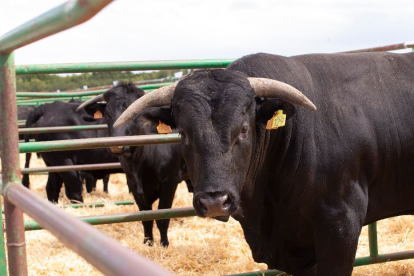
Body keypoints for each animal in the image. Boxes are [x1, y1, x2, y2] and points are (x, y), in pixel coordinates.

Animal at [77, 81, 192, 246]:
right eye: (107, 115)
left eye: (133, 117)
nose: (117, 146)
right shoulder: (134, 186)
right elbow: (146, 219)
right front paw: (148, 243)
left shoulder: (169, 183)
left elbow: (163, 218)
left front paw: (164, 245)